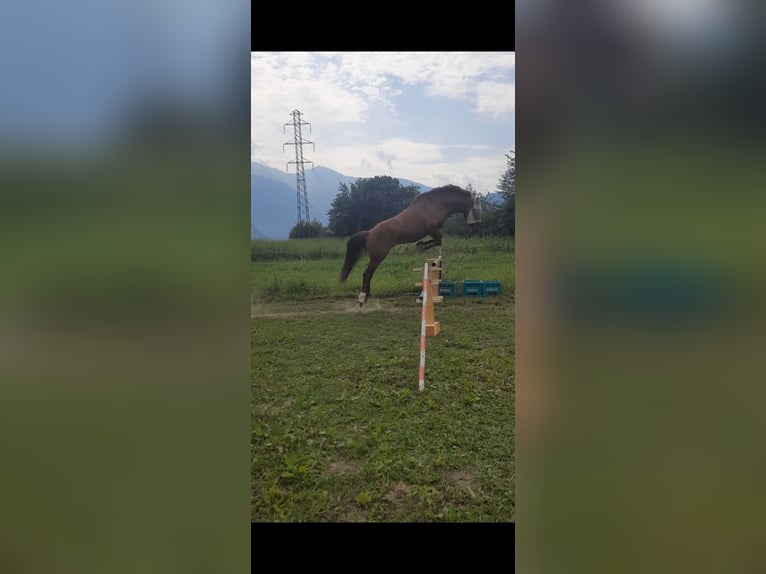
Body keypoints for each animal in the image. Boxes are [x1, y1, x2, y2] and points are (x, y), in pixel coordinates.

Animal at [340, 187, 484, 308]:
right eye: (478, 210)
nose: (476, 227)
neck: (436, 204)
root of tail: (369, 233)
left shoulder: (433, 231)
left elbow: (438, 241)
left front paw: (420, 245)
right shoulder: (432, 229)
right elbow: (439, 239)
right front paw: (421, 246)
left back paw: (365, 298)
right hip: (378, 257)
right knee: (367, 274)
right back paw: (362, 299)